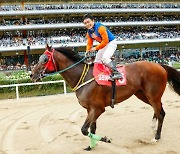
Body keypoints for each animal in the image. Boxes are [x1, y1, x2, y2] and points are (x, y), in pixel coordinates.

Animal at [30, 44, 179, 150]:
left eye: (44, 59)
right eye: (39, 58)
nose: (31, 75)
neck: (83, 77)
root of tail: (160, 65)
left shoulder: (98, 108)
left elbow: (84, 129)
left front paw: (105, 139)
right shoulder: (90, 109)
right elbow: (91, 128)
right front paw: (91, 146)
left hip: (152, 95)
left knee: (160, 113)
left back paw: (156, 137)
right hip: (142, 95)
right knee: (158, 110)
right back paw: (153, 127)